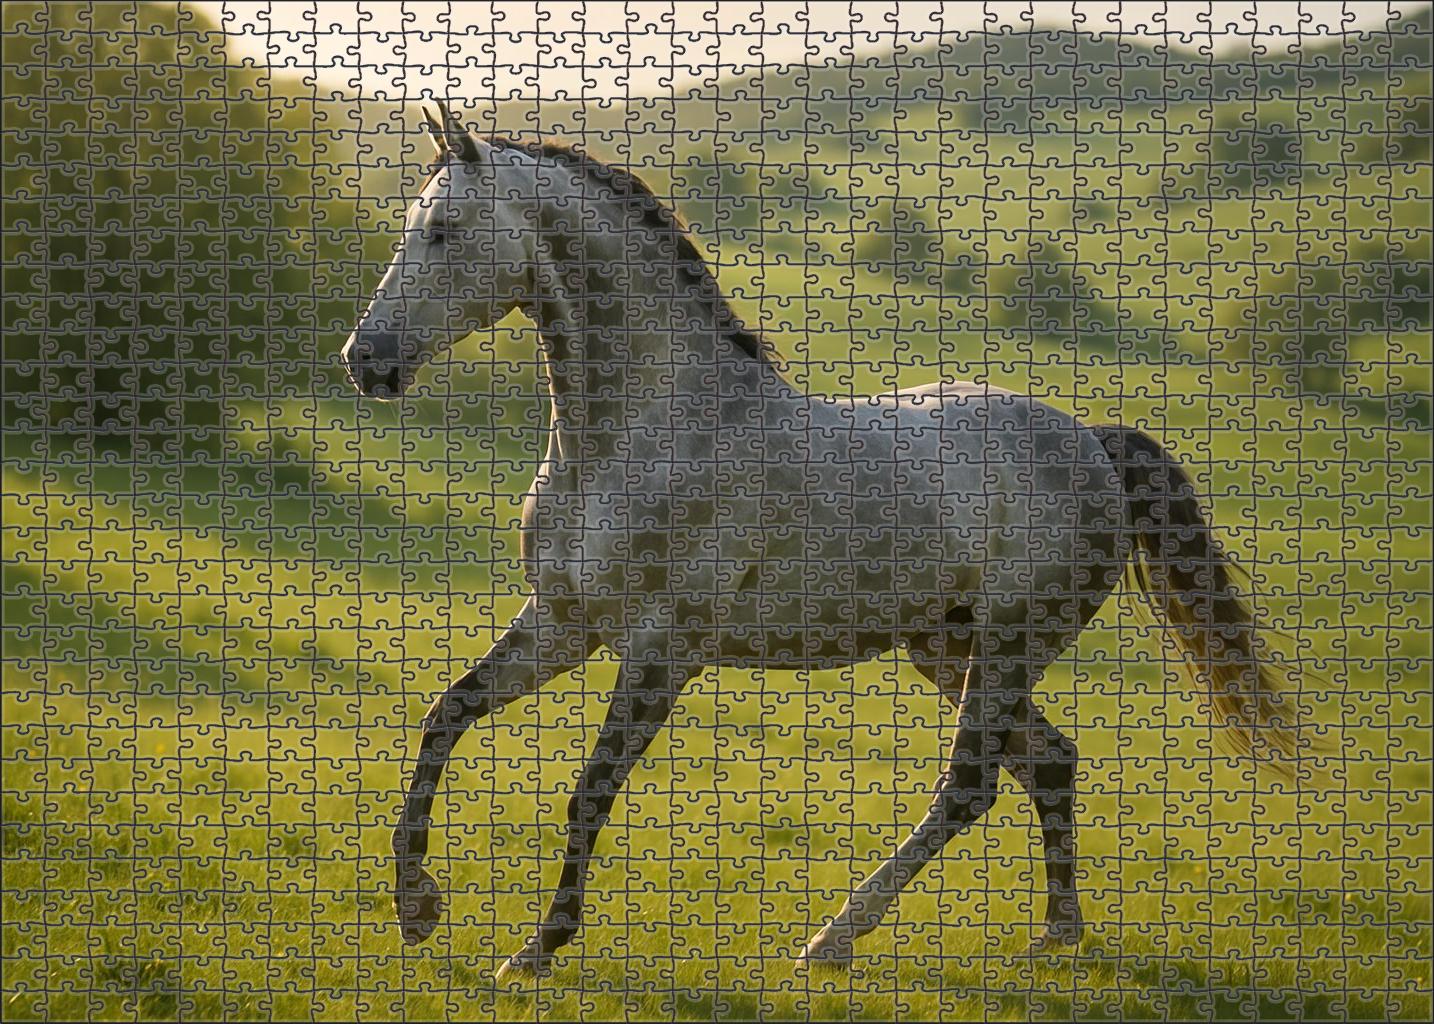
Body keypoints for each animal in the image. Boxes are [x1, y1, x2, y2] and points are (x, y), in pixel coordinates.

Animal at [340, 100, 1302, 982]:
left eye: (444, 231)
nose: (366, 359)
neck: (639, 437)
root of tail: (1094, 445)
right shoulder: (564, 622)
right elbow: (446, 713)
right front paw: (417, 909)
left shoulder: (662, 647)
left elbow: (591, 788)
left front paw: (537, 950)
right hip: (947, 649)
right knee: (1050, 763)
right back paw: (1055, 936)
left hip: (1005, 645)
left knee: (973, 784)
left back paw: (834, 940)